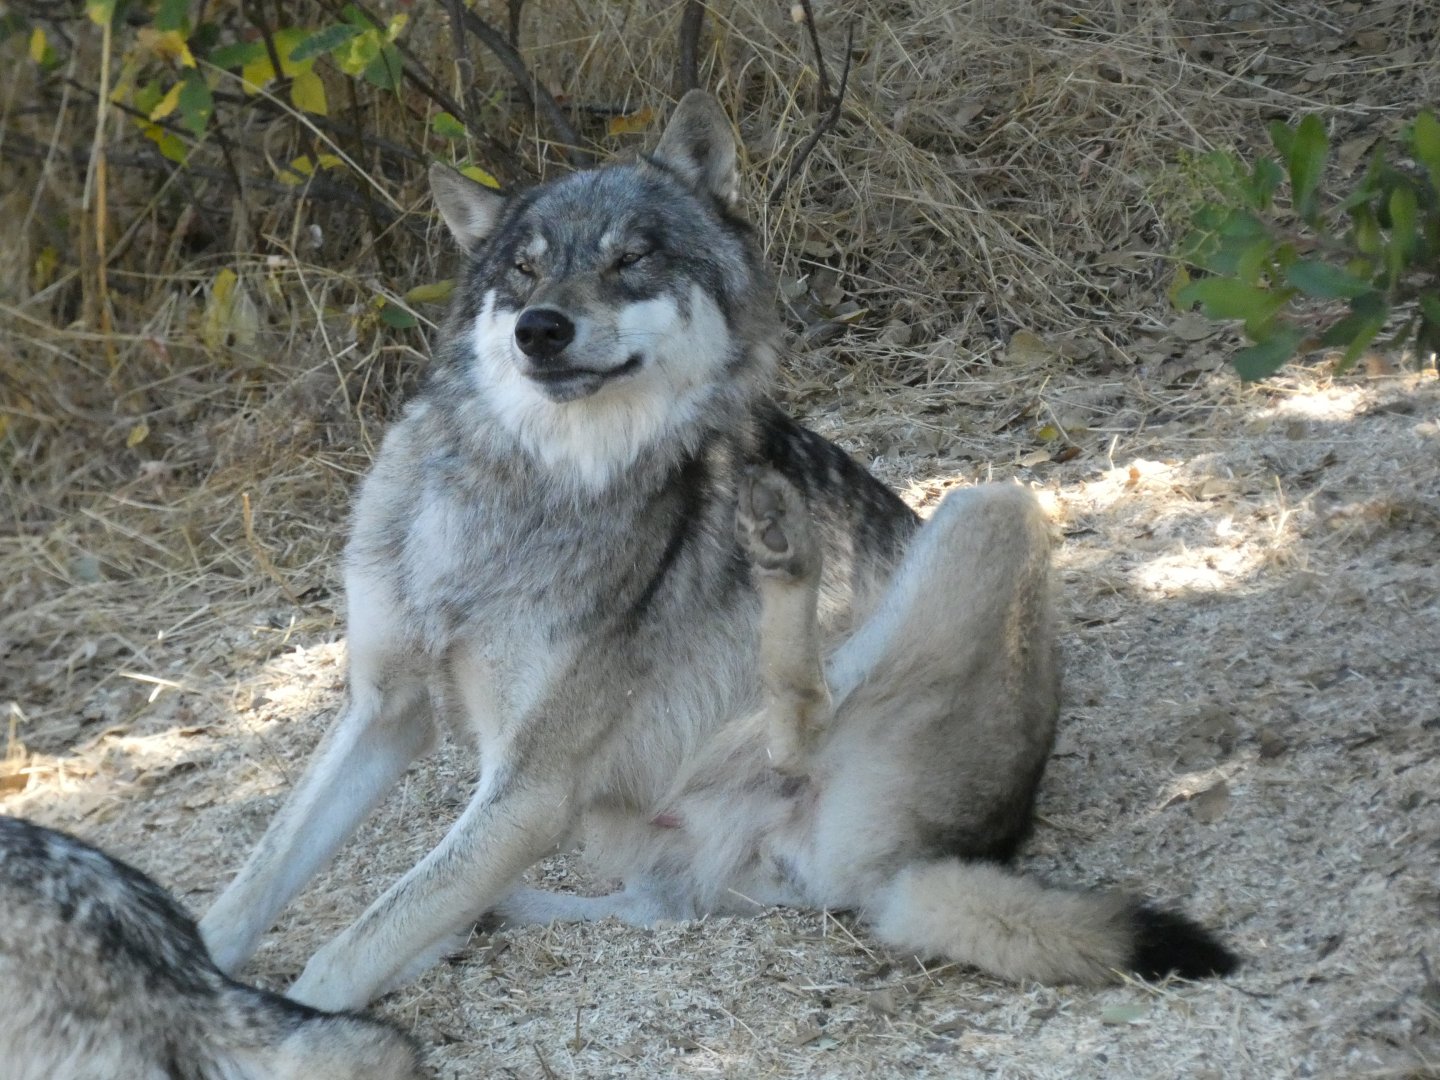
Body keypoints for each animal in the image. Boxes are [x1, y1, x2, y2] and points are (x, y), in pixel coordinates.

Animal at [199, 91, 1235, 1011]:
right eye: (523, 274)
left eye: (632, 261)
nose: (541, 330)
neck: (519, 487)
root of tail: (928, 864)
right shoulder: (387, 711)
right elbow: (253, 887)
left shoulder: (530, 788)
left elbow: (348, 948)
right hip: (634, 829)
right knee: (664, 905)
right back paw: (490, 922)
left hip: (993, 506)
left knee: (797, 720)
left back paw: (784, 559)